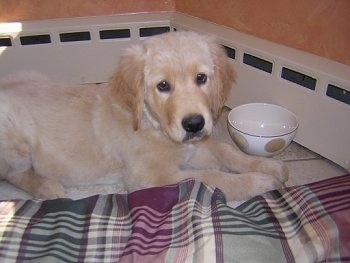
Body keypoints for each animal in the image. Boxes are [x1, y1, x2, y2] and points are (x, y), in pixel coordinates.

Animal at [0, 31, 288, 200]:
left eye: (201, 78)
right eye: (163, 86)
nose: (194, 124)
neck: (153, 123)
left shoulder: (193, 148)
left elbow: (227, 152)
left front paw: (268, 166)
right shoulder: (151, 177)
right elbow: (211, 177)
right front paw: (260, 182)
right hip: (15, 140)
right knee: (13, 175)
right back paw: (48, 188)